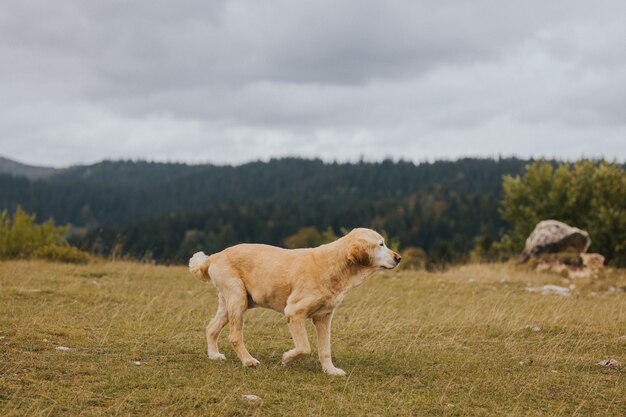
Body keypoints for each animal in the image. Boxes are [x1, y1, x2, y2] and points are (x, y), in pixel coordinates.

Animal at [188, 226, 400, 376]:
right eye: (381, 244)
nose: (398, 258)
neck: (336, 266)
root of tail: (216, 255)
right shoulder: (294, 312)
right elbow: (305, 348)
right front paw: (287, 358)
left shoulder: (324, 318)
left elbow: (325, 349)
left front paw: (330, 370)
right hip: (237, 299)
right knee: (234, 336)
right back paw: (248, 361)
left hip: (232, 303)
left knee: (211, 328)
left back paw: (214, 355)